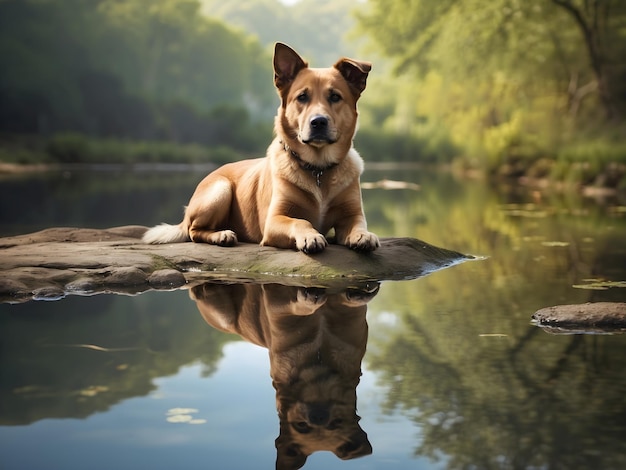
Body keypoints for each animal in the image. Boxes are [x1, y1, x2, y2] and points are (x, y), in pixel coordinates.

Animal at [141, 41, 376, 253]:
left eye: (335, 96)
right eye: (302, 97)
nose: (318, 122)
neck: (317, 168)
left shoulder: (352, 213)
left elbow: (358, 223)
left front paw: (363, 235)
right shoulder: (274, 221)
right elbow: (300, 221)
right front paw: (311, 236)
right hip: (220, 190)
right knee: (193, 231)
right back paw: (221, 235)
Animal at [189, 280, 376, 468]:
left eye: (336, 423)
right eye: (301, 426)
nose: (318, 416)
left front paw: (358, 294)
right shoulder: (275, 301)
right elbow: (294, 304)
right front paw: (307, 299)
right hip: (224, 318)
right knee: (198, 293)